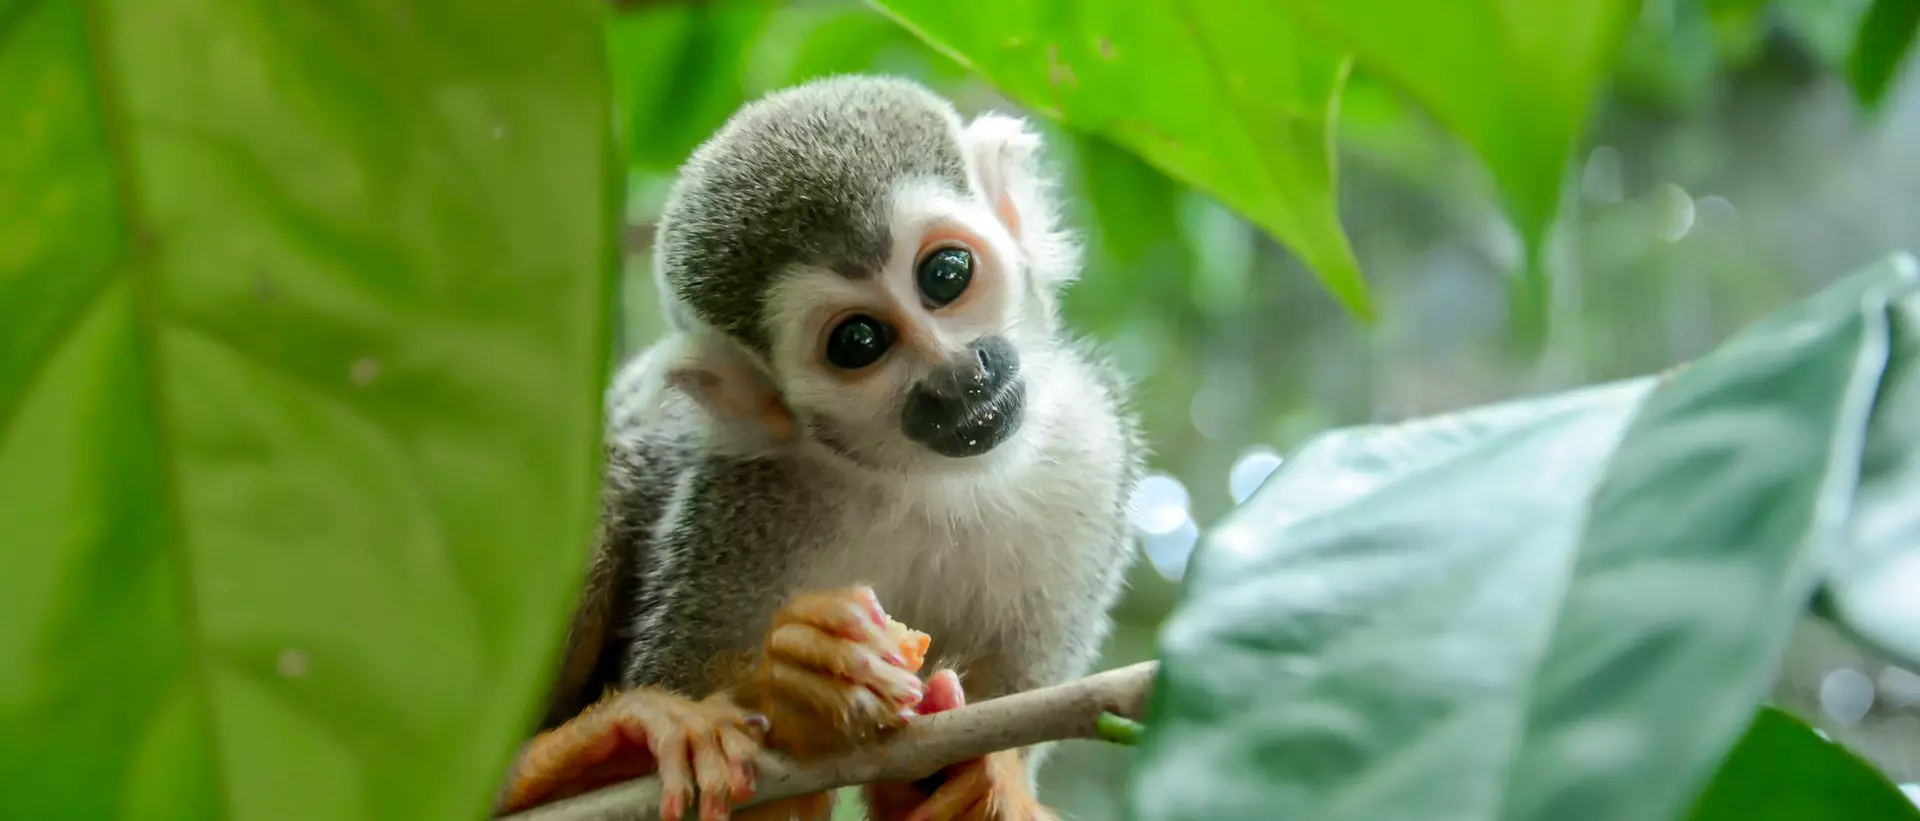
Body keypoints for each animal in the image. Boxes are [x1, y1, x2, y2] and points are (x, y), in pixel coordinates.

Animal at [494, 74, 1143, 821]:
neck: (925, 482)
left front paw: (982, 780)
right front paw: (804, 685)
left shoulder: (1088, 455)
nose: (958, 376)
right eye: (858, 342)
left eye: (946, 274)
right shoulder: (736, 511)